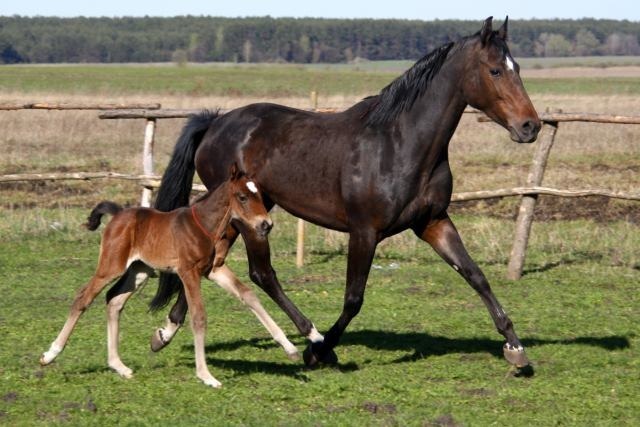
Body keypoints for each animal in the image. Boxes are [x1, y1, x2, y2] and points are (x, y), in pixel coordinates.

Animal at [40, 166, 280, 388]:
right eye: (242, 197)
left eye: (260, 195)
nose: (266, 224)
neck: (203, 226)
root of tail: (117, 214)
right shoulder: (188, 272)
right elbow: (198, 317)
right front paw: (206, 376)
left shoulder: (212, 270)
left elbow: (247, 294)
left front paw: (287, 347)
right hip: (111, 266)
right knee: (83, 298)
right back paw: (50, 354)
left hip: (139, 271)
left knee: (114, 300)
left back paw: (119, 366)